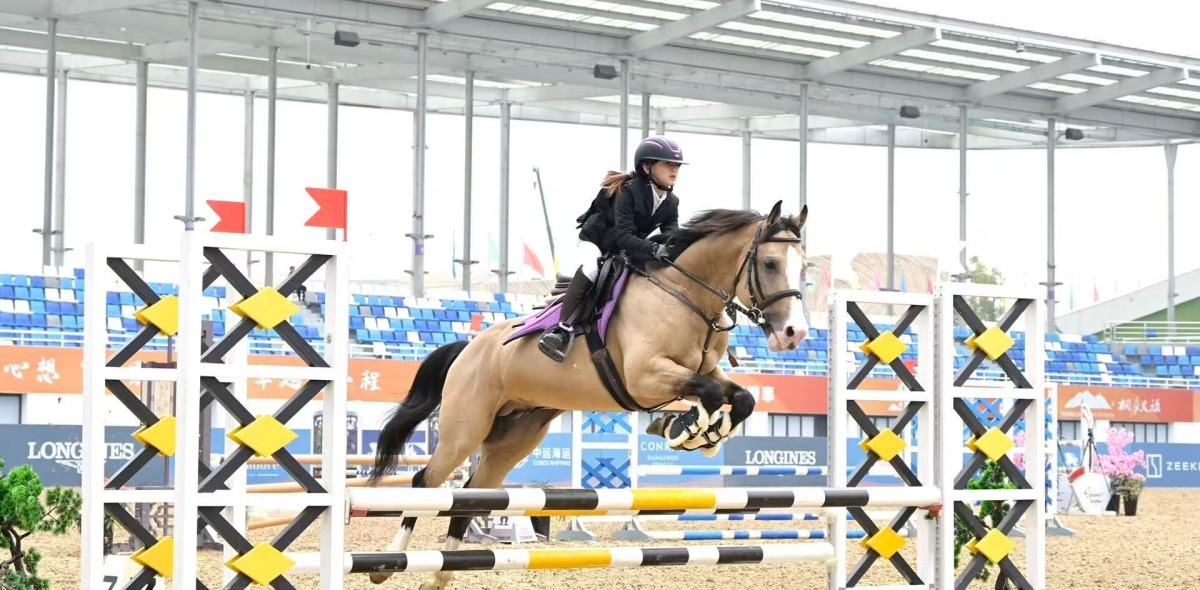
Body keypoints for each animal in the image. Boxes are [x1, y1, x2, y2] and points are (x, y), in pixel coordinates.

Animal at [366, 200, 810, 588]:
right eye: (770, 263)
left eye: (804, 267)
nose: (795, 334)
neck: (684, 294)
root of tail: (469, 348)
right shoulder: (645, 377)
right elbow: (711, 394)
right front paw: (684, 429)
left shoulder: (700, 370)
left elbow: (740, 398)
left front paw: (700, 432)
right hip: (465, 429)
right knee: (425, 481)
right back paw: (386, 566)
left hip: (515, 438)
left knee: (471, 495)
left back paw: (438, 577)